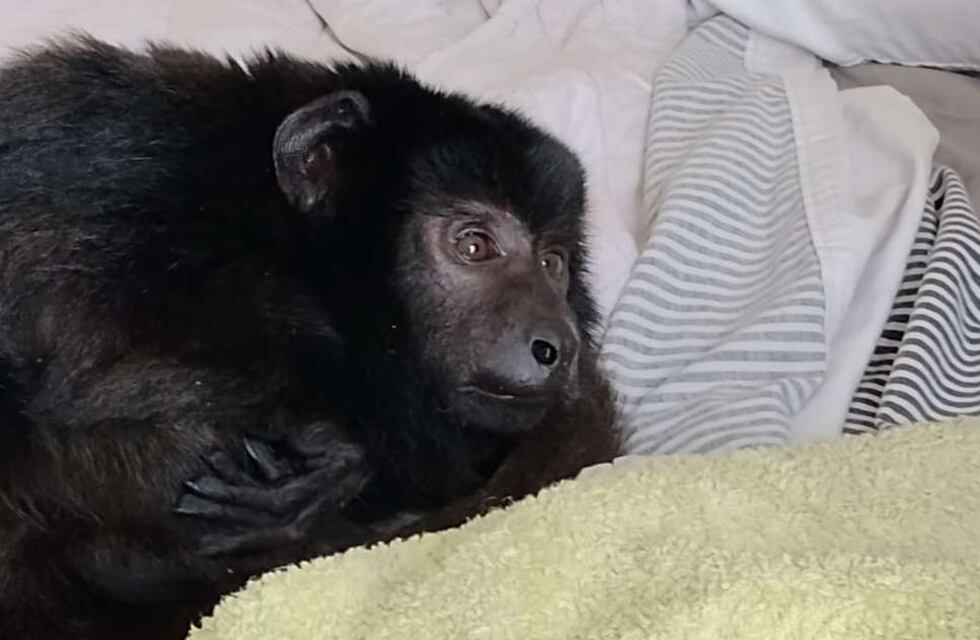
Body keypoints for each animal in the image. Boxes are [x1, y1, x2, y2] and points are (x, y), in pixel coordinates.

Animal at [0, 35, 621, 640]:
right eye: (474, 245)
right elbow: (79, 354)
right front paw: (339, 448)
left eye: (552, 262)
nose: (558, 344)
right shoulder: (125, 176)